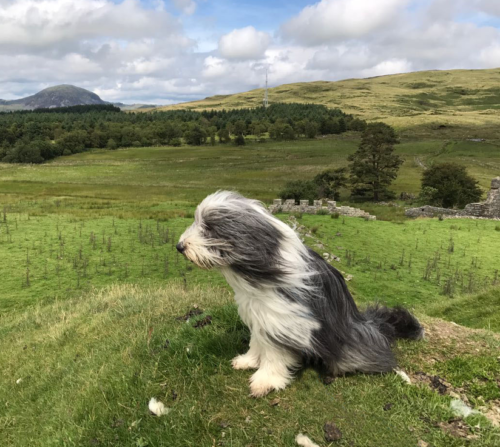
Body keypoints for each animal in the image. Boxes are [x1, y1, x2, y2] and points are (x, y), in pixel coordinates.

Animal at [176, 191, 422, 398]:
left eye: (209, 228)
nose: (179, 246)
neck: (261, 269)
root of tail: (370, 322)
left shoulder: (282, 319)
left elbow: (274, 354)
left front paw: (265, 381)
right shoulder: (258, 313)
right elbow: (257, 341)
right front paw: (248, 360)